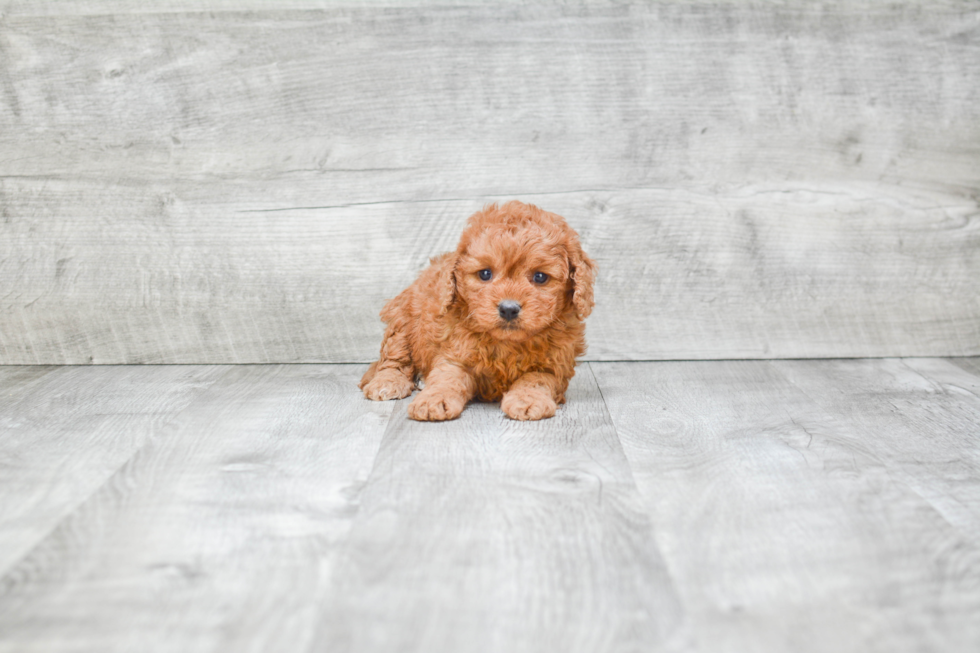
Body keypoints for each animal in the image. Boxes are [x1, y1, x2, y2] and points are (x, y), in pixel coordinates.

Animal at [356, 201, 592, 420]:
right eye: (485, 274)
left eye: (540, 277)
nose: (508, 309)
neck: (506, 343)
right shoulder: (455, 354)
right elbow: (446, 378)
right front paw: (433, 400)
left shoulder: (554, 365)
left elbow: (536, 380)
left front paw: (528, 400)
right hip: (403, 318)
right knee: (394, 358)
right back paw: (388, 382)